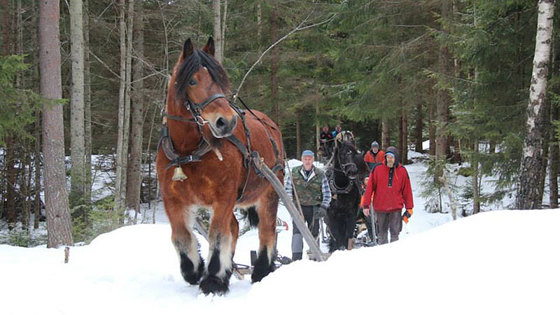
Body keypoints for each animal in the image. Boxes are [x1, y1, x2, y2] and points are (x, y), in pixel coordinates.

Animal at [154, 37, 282, 296]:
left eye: (220, 80)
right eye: (192, 80)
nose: (226, 122)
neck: (189, 152)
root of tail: (269, 124)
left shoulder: (224, 197)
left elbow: (218, 235)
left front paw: (213, 279)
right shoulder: (172, 199)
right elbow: (181, 237)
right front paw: (195, 270)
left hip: (270, 192)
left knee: (267, 231)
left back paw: (261, 271)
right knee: (235, 226)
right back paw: (229, 269)